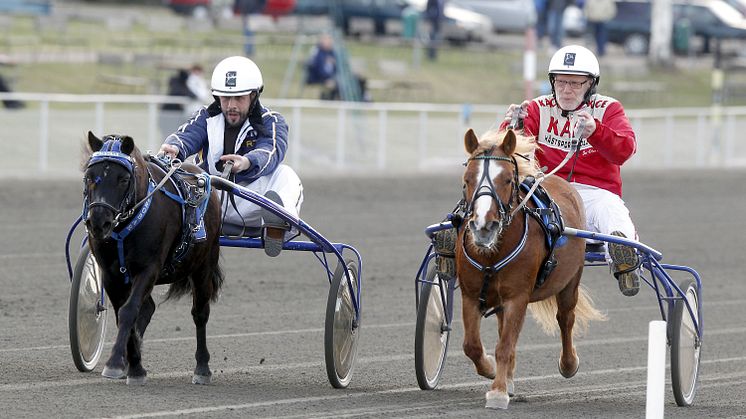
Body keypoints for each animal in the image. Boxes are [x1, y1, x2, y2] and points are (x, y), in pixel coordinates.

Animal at [82, 133, 221, 386]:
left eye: (123, 178)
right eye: (89, 176)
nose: (98, 222)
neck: (126, 225)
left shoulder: (149, 268)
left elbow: (129, 311)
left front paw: (117, 363)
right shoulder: (111, 275)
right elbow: (123, 313)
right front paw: (132, 364)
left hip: (204, 265)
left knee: (200, 313)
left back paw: (202, 368)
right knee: (148, 309)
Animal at [454, 128, 604, 410]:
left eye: (507, 180)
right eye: (467, 179)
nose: (483, 227)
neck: (492, 251)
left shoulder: (517, 296)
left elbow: (505, 346)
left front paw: (498, 391)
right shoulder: (470, 294)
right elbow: (472, 345)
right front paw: (491, 370)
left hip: (571, 279)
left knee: (565, 318)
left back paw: (569, 363)